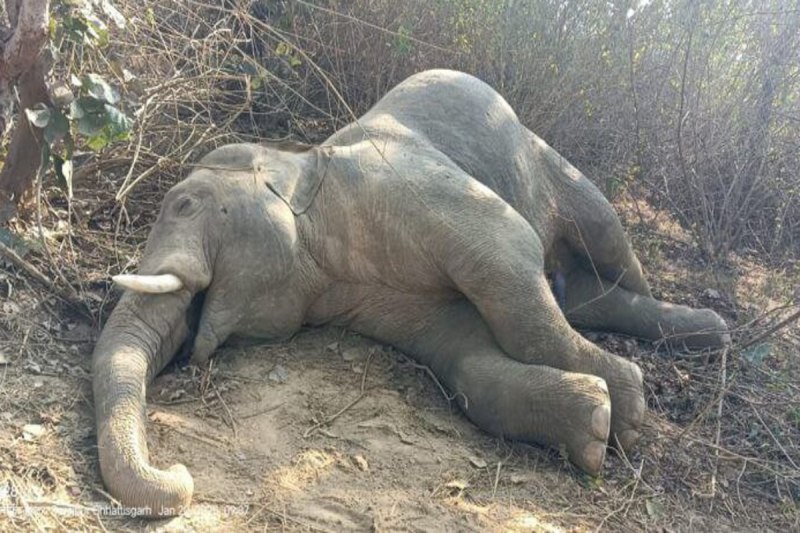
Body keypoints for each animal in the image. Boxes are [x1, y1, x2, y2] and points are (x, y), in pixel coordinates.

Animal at [92, 69, 729, 517]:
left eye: (184, 204)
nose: (182, 474)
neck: (303, 162)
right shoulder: (364, 295)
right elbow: (464, 354)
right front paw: (595, 426)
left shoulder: (402, 184)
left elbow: (506, 257)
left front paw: (628, 414)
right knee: (583, 294)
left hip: (546, 156)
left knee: (606, 242)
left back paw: (708, 336)